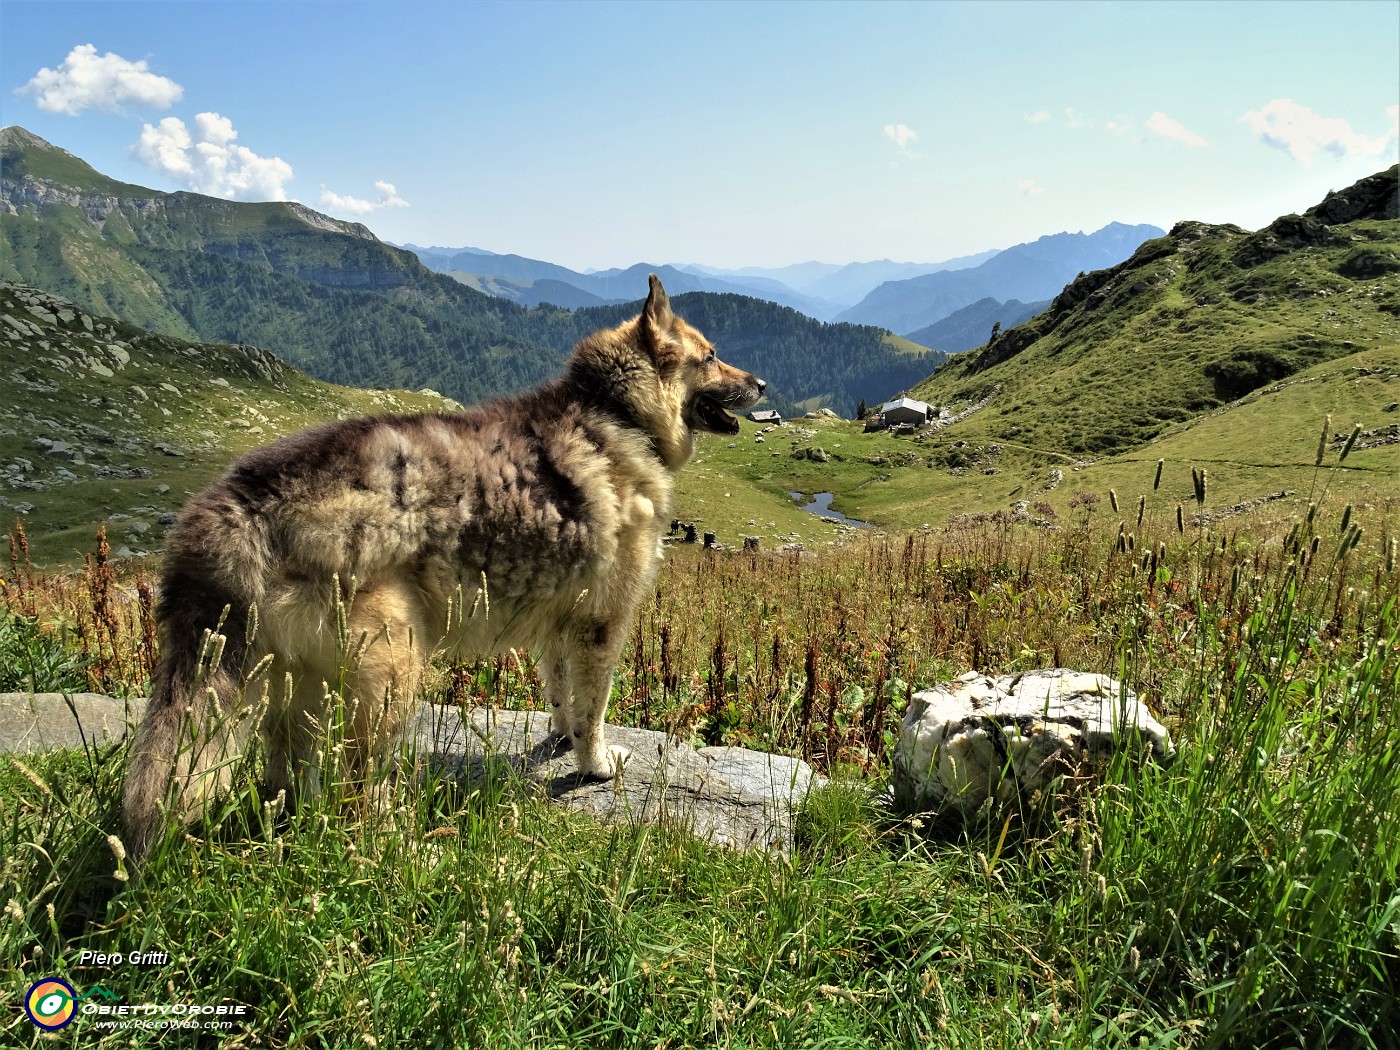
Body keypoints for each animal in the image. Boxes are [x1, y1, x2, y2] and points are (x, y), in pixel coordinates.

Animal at [120, 275, 767, 856]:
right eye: (712, 356)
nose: (762, 382)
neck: (617, 413)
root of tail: (234, 502)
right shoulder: (600, 624)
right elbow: (593, 709)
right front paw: (595, 763)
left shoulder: (563, 623)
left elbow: (562, 695)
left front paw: (559, 740)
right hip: (392, 666)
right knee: (353, 794)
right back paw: (401, 846)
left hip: (294, 681)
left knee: (296, 781)